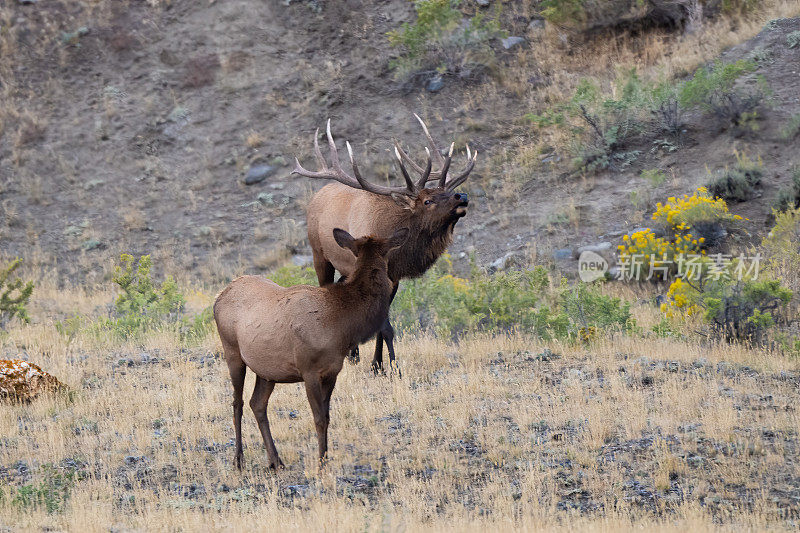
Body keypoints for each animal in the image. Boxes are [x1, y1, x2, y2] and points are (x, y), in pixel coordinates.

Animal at [216, 227, 410, 468]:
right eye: (386, 257)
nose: (394, 282)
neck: (342, 323)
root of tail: (219, 296)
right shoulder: (308, 370)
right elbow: (318, 419)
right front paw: (321, 464)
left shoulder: (332, 371)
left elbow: (327, 417)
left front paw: (325, 458)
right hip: (232, 352)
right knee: (237, 403)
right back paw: (239, 459)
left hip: (267, 370)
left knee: (257, 404)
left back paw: (276, 461)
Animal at [296, 115, 478, 374]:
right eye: (427, 200)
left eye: (447, 191)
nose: (461, 196)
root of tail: (318, 194)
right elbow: (385, 327)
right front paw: (393, 367)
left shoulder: (394, 279)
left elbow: (379, 325)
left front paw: (377, 365)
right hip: (318, 254)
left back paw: (353, 354)